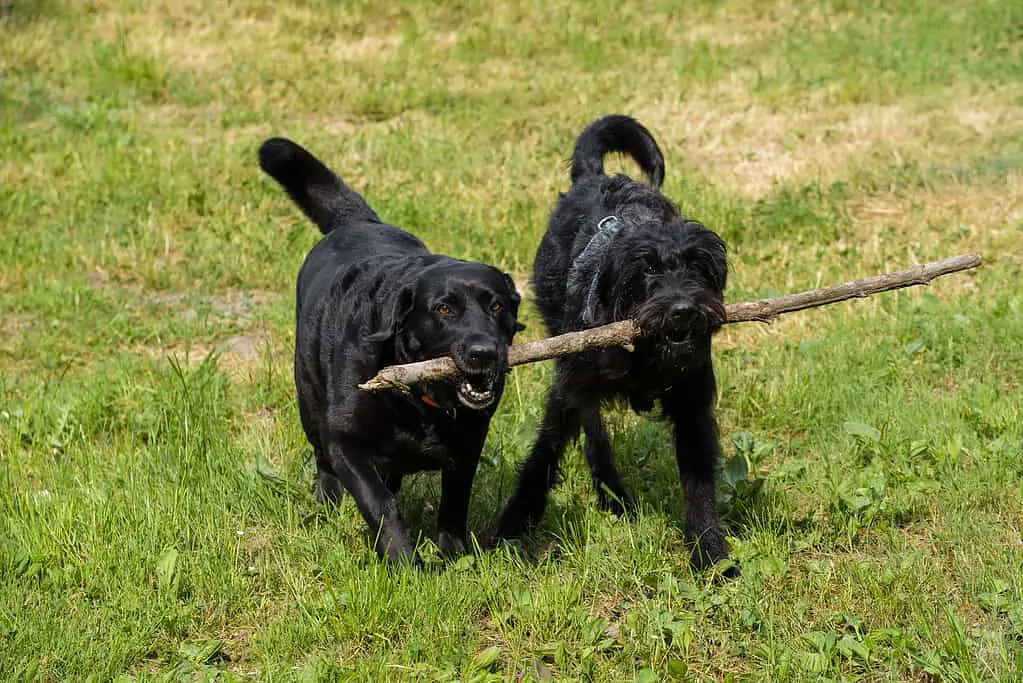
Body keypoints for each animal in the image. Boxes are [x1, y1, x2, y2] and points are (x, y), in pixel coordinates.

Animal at [259, 137, 523, 564]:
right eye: (443, 309)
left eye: (497, 306)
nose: (484, 352)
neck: (420, 398)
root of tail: (357, 222)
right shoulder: (346, 442)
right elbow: (380, 504)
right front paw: (405, 562)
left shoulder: (469, 443)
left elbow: (455, 501)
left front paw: (453, 555)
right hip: (308, 400)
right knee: (324, 462)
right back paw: (326, 502)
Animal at [497, 116, 732, 572]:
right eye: (647, 270)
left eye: (699, 265)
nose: (682, 310)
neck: (644, 358)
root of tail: (595, 176)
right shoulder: (569, 385)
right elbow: (545, 451)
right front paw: (513, 521)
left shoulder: (692, 403)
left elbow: (699, 484)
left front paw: (709, 551)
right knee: (594, 431)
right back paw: (611, 492)